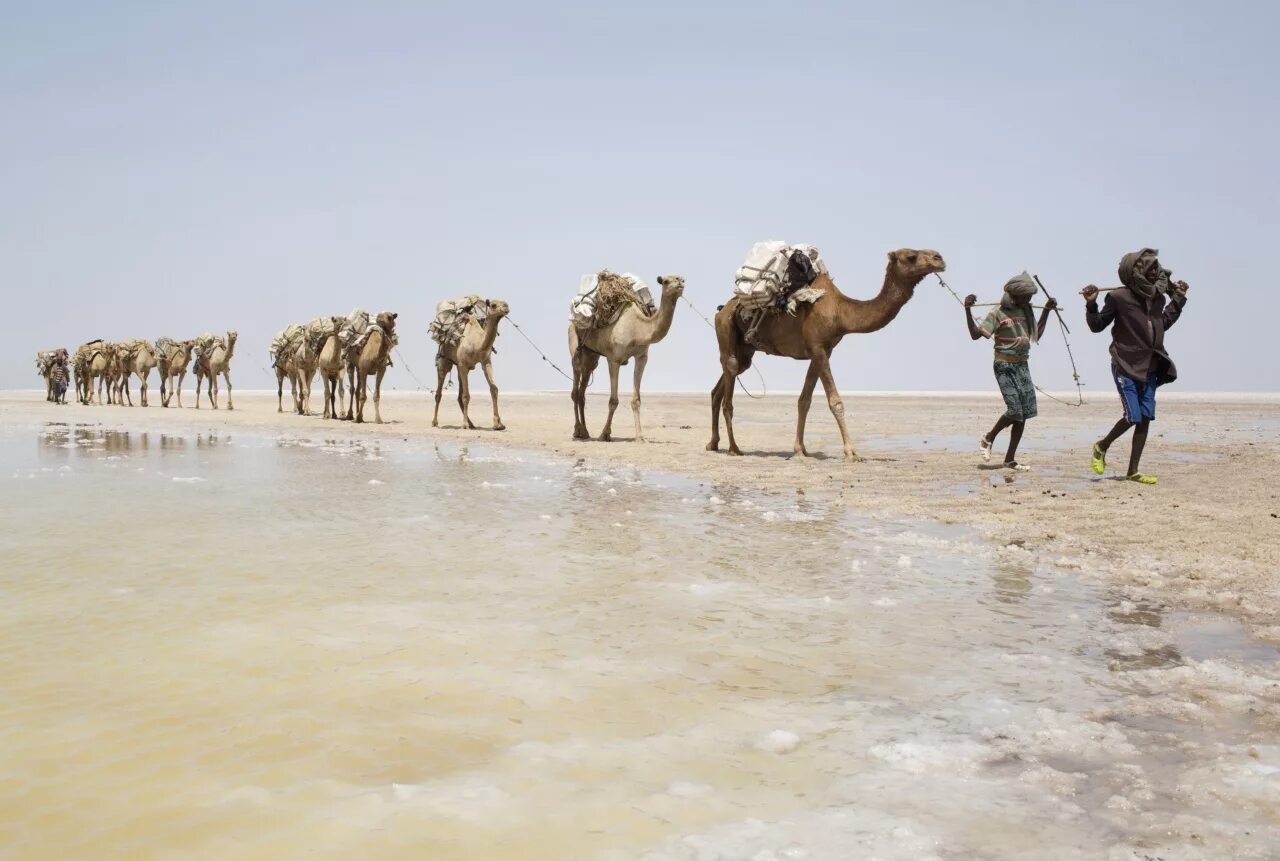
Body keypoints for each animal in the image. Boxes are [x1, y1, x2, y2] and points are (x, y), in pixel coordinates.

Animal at [432, 299, 506, 429]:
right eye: (493, 305)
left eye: (506, 303)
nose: (506, 307)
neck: (477, 344)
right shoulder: (463, 364)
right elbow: (466, 395)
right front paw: (464, 424)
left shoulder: (485, 362)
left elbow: (494, 389)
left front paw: (498, 424)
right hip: (444, 360)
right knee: (439, 391)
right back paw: (435, 422)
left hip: (459, 366)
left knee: (459, 394)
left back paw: (471, 423)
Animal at [570, 275, 686, 440]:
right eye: (666, 281)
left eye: (681, 279)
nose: (679, 282)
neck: (637, 328)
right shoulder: (613, 359)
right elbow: (613, 400)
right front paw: (605, 434)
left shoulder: (642, 357)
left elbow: (636, 400)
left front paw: (640, 436)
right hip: (575, 345)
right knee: (575, 385)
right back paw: (577, 430)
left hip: (591, 355)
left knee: (582, 390)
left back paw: (585, 431)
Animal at [706, 248, 947, 460]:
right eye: (911, 256)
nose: (939, 258)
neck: (841, 312)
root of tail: (722, 309)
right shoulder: (818, 348)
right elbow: (835, 401)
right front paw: (851, 452)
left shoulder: (821, 351)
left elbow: (804, 400)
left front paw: (800, 450)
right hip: (726, 332)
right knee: (729, 385)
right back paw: (734, 448)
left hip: (746, 351)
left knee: (720, 387)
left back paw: (713, 443)